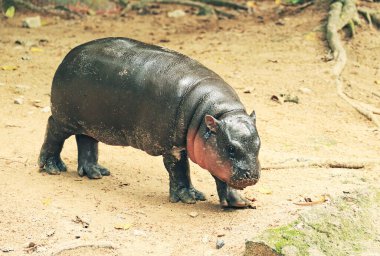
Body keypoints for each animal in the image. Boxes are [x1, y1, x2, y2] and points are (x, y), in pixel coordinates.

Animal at [39, 37, 262, 208]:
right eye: (231, 148)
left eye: (259, 145)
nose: (251, 176)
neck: (218, 112)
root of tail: (69, 55)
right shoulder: (173, 146)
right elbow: (180, 169)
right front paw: (189, 198)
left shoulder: (214, 152)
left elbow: (222, 176)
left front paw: (240, 203)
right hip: (64, 118)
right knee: (53, 130)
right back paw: (52, 167)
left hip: (90, 122)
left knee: (86, 140)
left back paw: (96, 173)